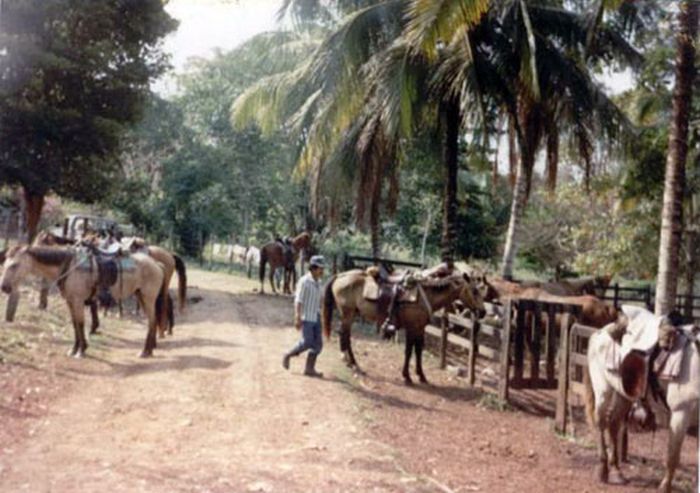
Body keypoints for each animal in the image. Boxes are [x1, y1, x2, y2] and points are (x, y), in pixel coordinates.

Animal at [0, 246, 168, 358]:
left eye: (14, 265)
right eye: (5, 263)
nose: (4, 287)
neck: (68, 266)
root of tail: (157, 264)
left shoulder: (78, 301)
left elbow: (80, 324)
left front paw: (81, 350)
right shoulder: (70, 302)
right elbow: (75, 324)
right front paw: (74, 349)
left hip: (148, 298)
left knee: (152, 321)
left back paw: (145, 351)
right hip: (141, 297)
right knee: (153, 321)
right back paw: (150, 349)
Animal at [322, 266, 486, 384]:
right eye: (474, 291)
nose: (483, 312)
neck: (426, 297)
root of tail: (340, 276)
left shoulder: (420, 329)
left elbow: (418, 351)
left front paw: (421, 375)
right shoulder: (411, 328)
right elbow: (409, 351)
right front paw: (407, 376)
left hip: (351, 314)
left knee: (346, 336)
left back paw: (353, 363)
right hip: (347, 314)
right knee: (344, 335)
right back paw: (349, 361)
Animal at [584, 306, 700, 490]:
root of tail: (599, 332)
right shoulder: (680, 414)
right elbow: (672, 457)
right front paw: (664, 487)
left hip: (623, 394)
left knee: (614, 423)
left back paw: (617, 471)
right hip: (603, 389)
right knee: (601, 422)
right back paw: (603, 470)